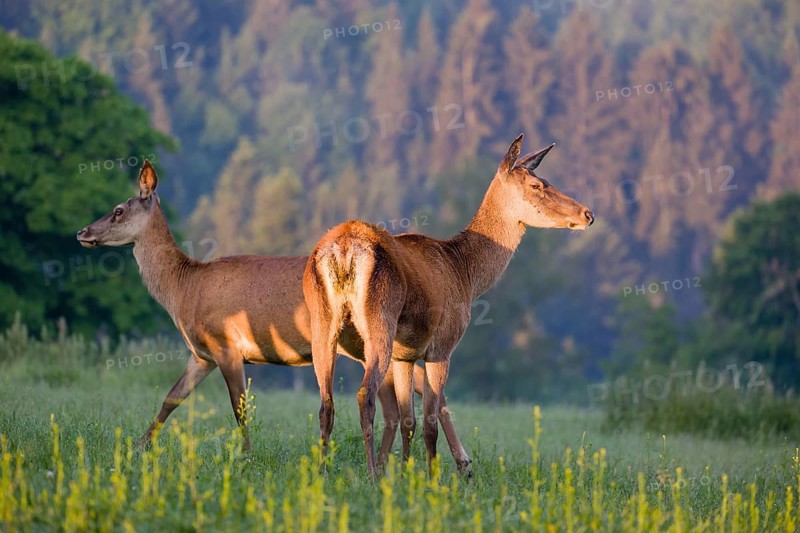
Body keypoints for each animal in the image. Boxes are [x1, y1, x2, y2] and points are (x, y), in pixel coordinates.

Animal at [76, 161, 473, 475]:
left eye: (118, 210)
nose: (82, 232)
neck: (183, 288)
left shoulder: (226, 344)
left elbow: (239, 409)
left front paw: (247, 459)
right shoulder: (201, 355)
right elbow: (171, 400)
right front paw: (137, 447)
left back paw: (458, 464)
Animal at [303, 133, 595, 478]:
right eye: (538, 185)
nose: (587, 214)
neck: (465, 274)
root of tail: (343, 250)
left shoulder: (405, 355)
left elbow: (409, 420)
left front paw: (407, 476)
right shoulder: (441, 346)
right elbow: (429, 423)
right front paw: (432, 479)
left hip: (323, 324)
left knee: (326, 402)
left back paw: (321, 471)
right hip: (379, 322)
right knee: (365, 395)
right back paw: (373, 474)